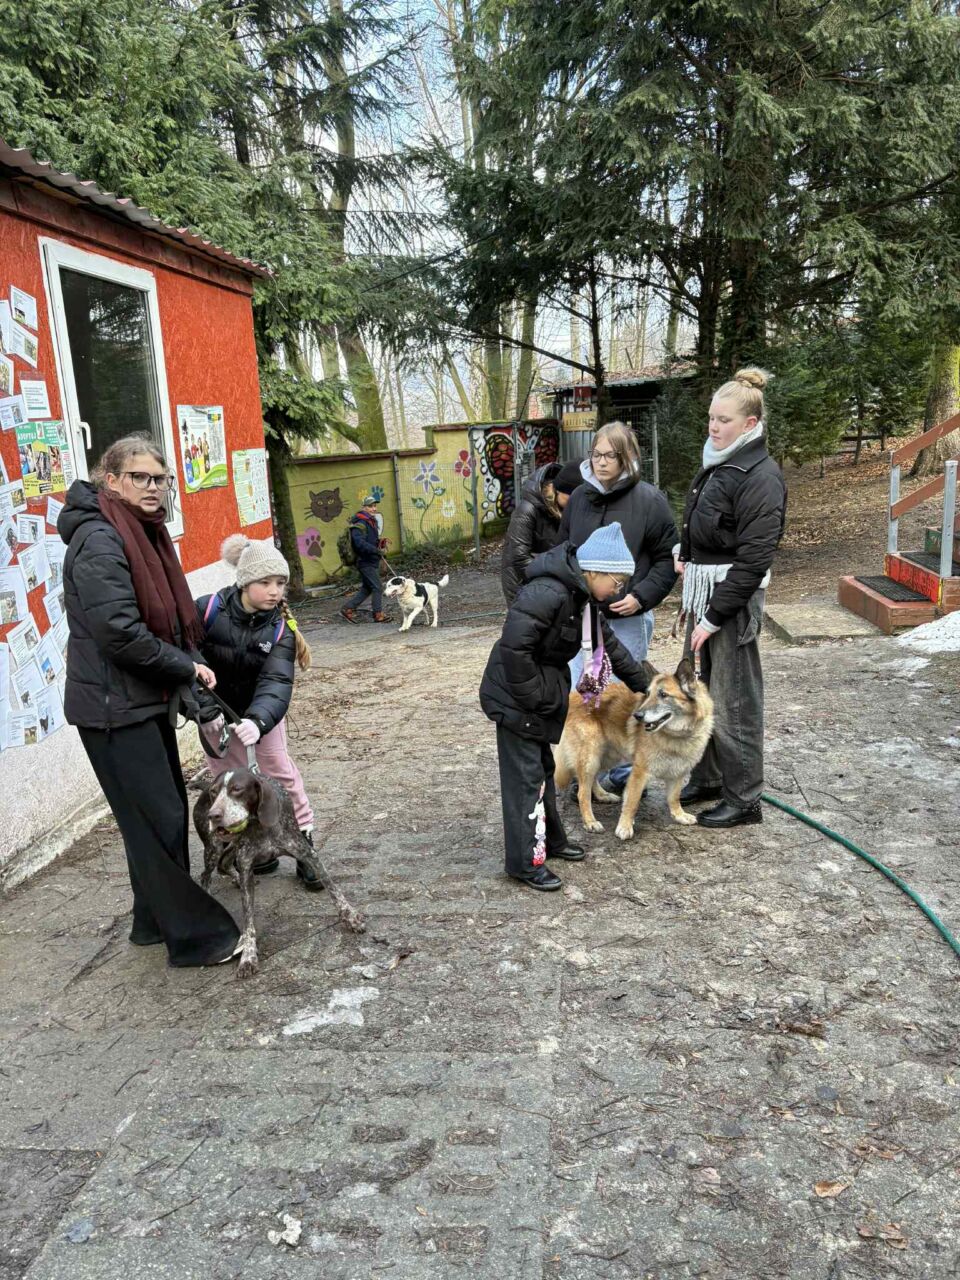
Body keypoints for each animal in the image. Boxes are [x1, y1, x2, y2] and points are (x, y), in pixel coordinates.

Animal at [193, 768, 365, 977]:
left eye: (237, 789)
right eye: (214, 793)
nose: (213, 815)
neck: (258, 826)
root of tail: (202, 786)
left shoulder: (308, 854)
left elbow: (333, 889)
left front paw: (351, 917)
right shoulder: (246, 868)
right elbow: (248, 921)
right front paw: (248, 956)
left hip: (230, 845)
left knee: (223, 864)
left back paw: (233, 879)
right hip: (214, 846)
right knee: (207, 873)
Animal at [554, 657, 714, 840]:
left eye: (663, 695)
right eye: (648, 693)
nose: (637, 716)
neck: (676, 735)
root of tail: (574, 696)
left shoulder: (679, 771)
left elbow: (674, 797)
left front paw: (679, 815)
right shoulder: (640, 772)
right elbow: (632, 801)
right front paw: (624, 826)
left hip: (606, 756)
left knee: (591, 780)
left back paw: (603, 795)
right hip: (591, 756)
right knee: (582, 792)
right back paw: (590, 822)